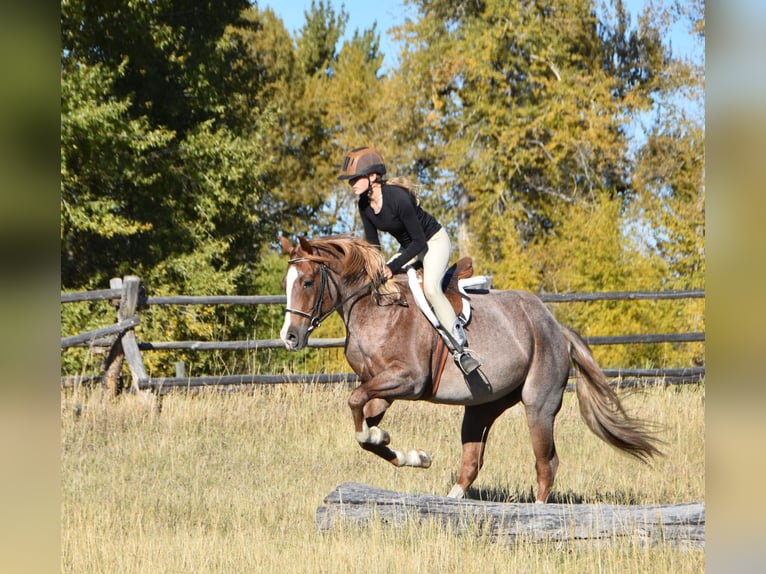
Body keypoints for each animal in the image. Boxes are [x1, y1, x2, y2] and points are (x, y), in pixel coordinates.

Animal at [279, 234, 662, 502]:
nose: (290, 337)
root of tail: (556, 326)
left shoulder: (407, 381)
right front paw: (411, 454)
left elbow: (355, 402)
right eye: (287, 283)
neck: (376, 308)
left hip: (539, 405)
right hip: (482, 406)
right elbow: (365, 425)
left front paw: (388, 441)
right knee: (472, 461)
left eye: (307, 282)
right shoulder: (380, 386)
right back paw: (452, 501)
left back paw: (537, 513)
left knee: (546, 463)